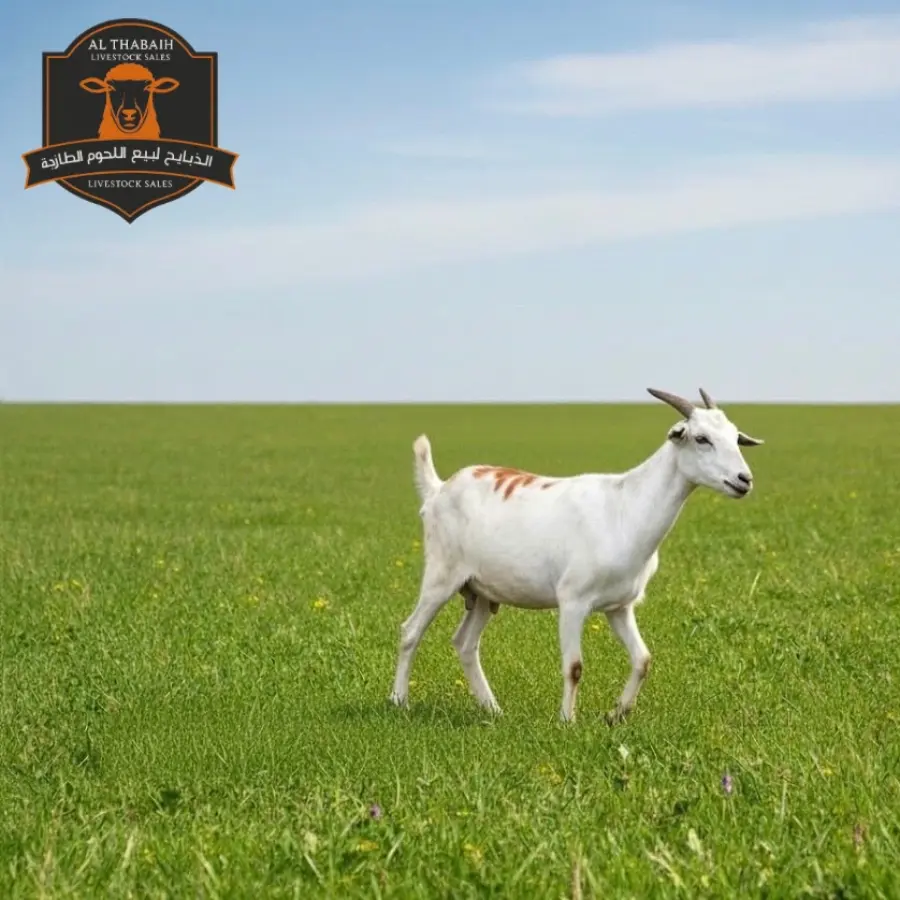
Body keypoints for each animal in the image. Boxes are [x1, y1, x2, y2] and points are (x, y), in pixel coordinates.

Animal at [389, 387, 764, 724]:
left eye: (735, 436)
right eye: (701, 438)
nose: (744, 479)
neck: (625, 507)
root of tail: (438, 489)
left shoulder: (619, 607)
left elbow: (642, 659)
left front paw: (617, 714)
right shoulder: (572, 601)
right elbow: (574, 666)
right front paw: (568, 721)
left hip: (483, 592)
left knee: (465, 643)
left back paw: (492, 709)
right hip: (442, 574)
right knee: (411, 631)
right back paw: (399, 701)